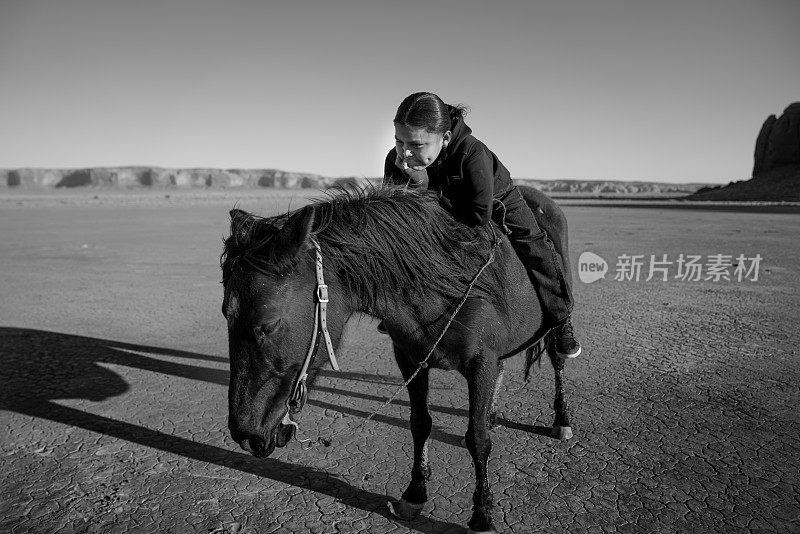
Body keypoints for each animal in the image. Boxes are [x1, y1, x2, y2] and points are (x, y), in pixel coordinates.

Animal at [222, 185, 572, 534]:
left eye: (267, 325)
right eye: (226, 314)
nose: (245, 435)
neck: (444, 288)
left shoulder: (481, 364)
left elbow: (478, 439)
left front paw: (482, 513)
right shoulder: (410, 360)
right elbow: (420, 424)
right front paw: (415, 493)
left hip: (555, 323)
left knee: (557, 360)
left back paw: (562, 420)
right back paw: (494, 413)